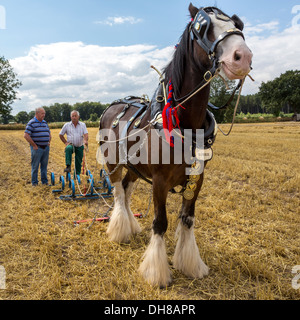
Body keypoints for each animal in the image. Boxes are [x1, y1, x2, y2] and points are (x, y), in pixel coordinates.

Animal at [99, 2, 253, 288]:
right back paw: (120, 230)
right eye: (202, 26)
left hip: (134, 168)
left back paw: (130, 227)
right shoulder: (159, 181)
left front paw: (190, 264)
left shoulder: (197, 179)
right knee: (117, 193)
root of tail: (115, 104)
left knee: (126, 189)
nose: (243, 56)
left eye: (238, 25)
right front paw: (156, 273)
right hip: (112, 163)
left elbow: (188, 219)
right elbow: (161, 222)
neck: (185, 124)